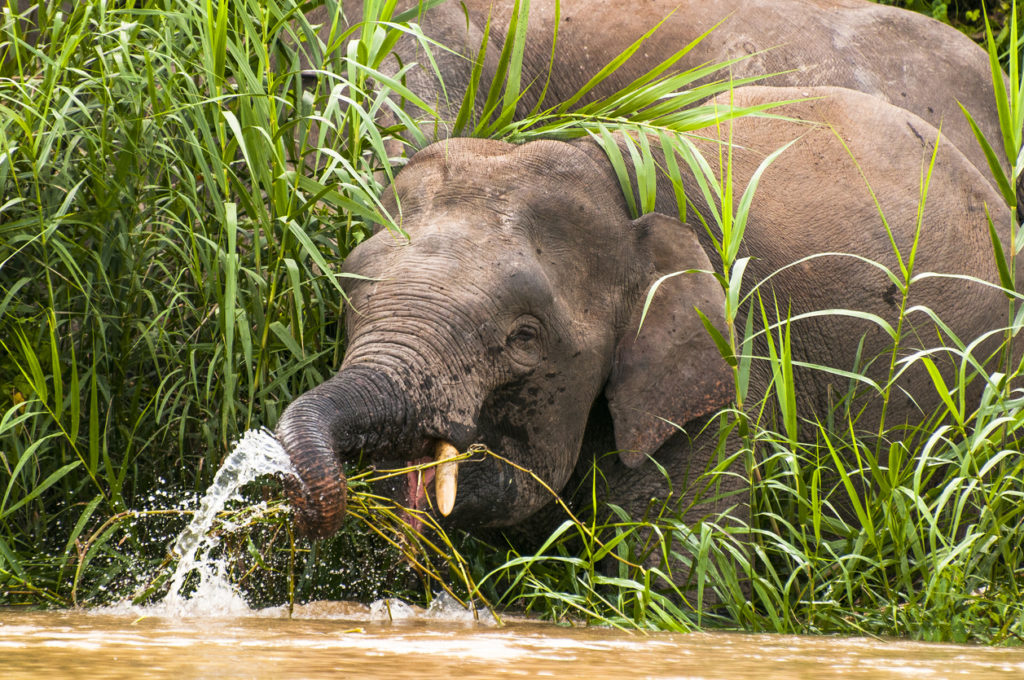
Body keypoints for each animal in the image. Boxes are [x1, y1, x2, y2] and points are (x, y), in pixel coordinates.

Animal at [274, 83, 1015, 569]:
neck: (608, 179)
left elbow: (682, 574)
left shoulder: (731, 367)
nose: (301, 512)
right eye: (348, 292)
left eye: (524, 338)